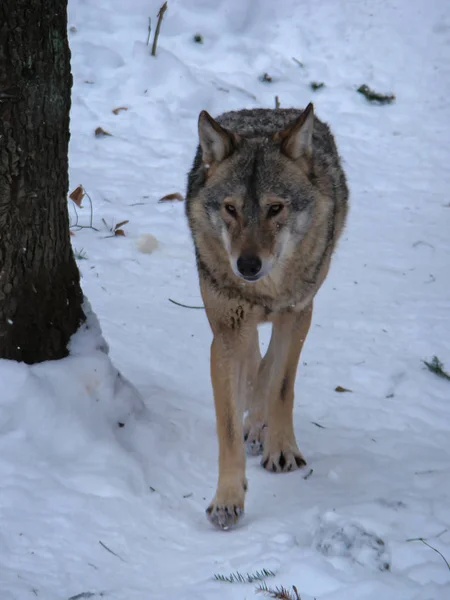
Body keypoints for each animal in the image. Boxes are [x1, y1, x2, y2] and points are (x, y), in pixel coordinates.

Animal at [185, 104, 350, 528]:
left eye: (275, 208)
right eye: (231, 209)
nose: (247, 265)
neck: (266, 290)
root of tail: (271, 109)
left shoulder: (297, 312)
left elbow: (280, 386)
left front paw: (280, 449)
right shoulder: (228, 328)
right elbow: (227, 425)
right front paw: (227, 499)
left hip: (303, 307)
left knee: (269, 363)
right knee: (254, 358)